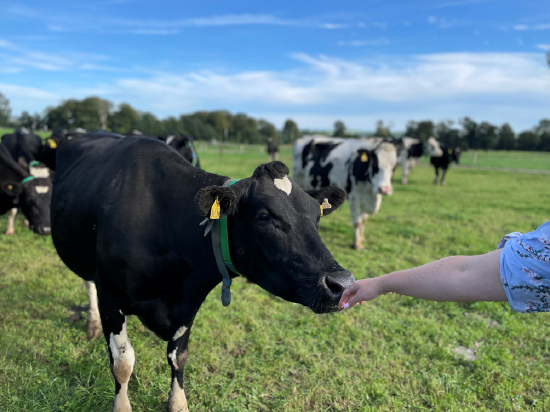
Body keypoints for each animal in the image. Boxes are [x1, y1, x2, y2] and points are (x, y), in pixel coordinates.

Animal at [51, 132, 353, 412]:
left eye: (317, 216)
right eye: (264, 216)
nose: (343, 282)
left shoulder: (189, 300)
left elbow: (178, 356)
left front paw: (178, 403)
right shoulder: (111, 296)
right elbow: (123, 362)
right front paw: (122, 406)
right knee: (89, 283)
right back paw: (91, 323)